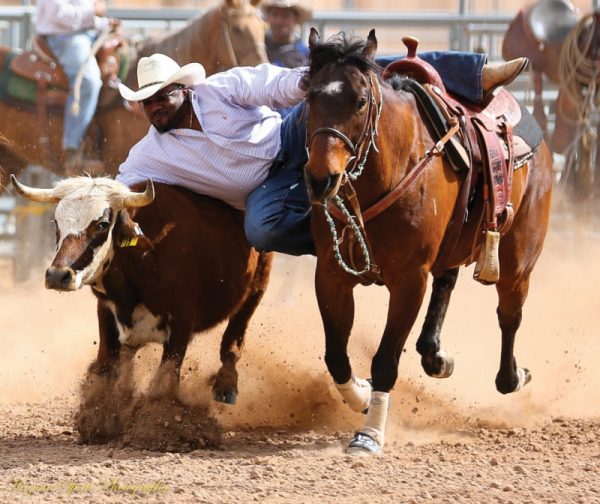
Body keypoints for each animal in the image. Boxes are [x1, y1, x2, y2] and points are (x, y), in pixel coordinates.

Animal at [304, 30, 552, 456]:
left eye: (361, 101)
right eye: (308, 95)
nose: (322, 179)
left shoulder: (409, 281)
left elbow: (385, 360)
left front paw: (369, 435)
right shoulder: (331, 274)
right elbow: (336, 356)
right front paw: (361, 394)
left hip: (518, 261)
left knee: (509, 317)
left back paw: (514, 375)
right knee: (447, 285)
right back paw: (437, 356)